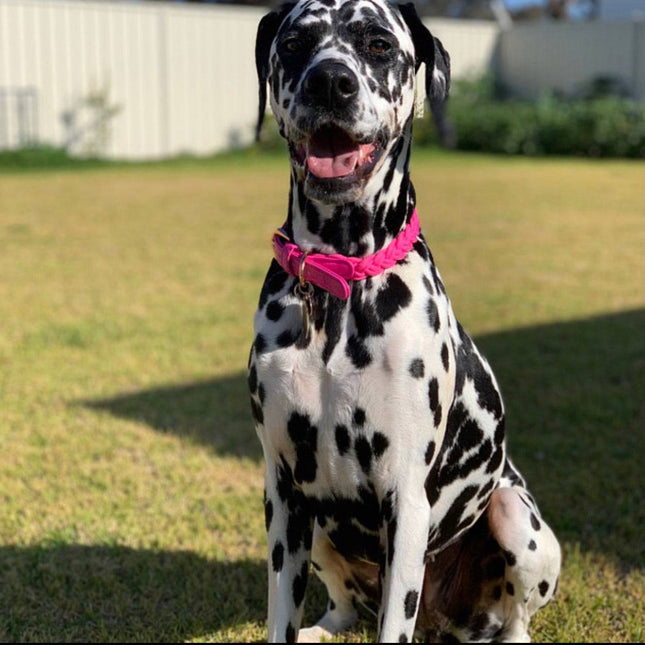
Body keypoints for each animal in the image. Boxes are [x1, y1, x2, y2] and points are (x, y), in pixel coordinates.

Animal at [248, 1, 560, 640]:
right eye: (293, 43)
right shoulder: (284, 493)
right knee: (343, 603)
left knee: (516, 617)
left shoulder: (405, 499)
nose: (330, 82)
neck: (341, 282)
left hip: (516, 519)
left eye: (378, 44)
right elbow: (280, 616)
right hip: (319, 530)